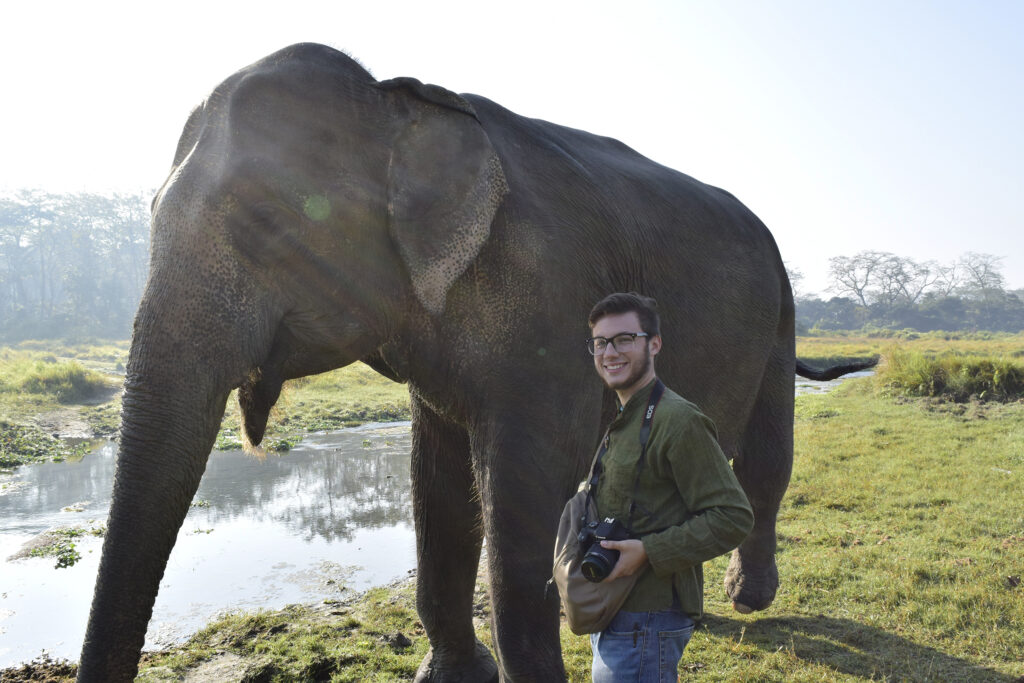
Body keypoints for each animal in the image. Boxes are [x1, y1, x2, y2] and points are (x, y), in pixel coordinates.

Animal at [75, 44, 872, 683]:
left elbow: (525, 492)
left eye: (265, 223)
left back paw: (746, 598)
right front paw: (454, 674)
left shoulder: (550, 300)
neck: (402, 104)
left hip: (781, 313)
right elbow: (439, 482)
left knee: (764, 461)